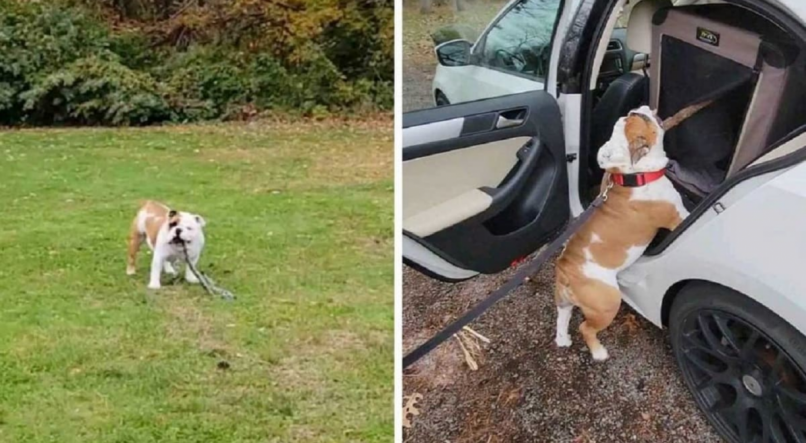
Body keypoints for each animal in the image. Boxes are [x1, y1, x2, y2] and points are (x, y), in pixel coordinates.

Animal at [556, 106, 696, 360]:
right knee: (585, 327)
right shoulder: (677, 216)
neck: (633, 175)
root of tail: (565, 269)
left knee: (563, 317)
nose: (638, 108)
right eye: (642, 119)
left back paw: (562, 339)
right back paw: (599, 352)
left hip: (564, 301)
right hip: (608, 302)